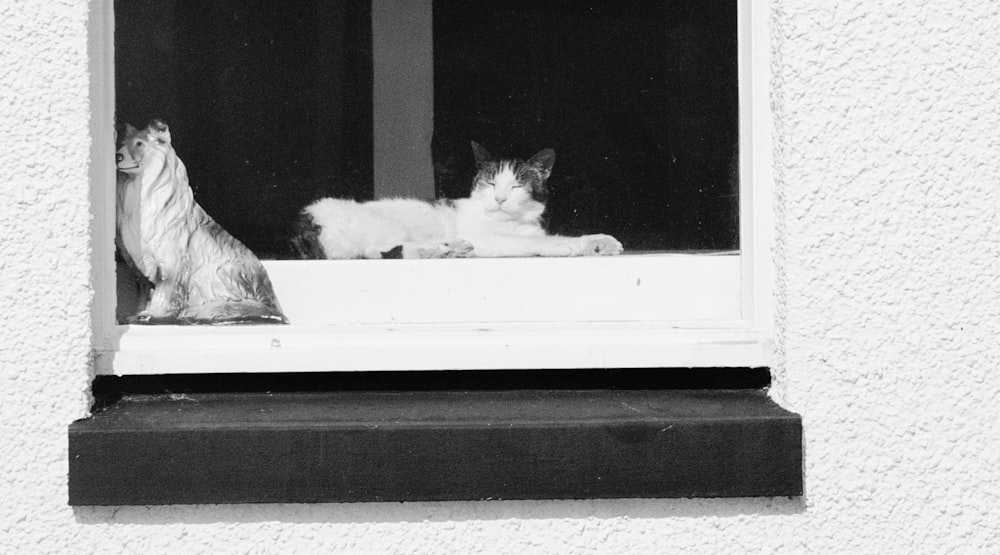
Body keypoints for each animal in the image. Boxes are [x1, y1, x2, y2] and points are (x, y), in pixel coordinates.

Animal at [118, 119, 290, 324]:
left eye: (139, 144)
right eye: (122, 144)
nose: (117, 156)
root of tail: (276, 308)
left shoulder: (170, 263)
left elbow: (164, 293)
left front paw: (153, 314)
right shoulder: (139, 269)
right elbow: (144, 295)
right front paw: (136, 315)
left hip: (217, 273)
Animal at [290, 141, 628, 258]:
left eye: (517, 186)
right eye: (491, 183)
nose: (500, 198)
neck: (514, 222)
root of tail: (305, 219)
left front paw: (600, 243)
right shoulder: (493, 240)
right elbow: (539, 242)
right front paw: (572, 245)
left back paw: (449, 248)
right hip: (383, 224)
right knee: (380, 250)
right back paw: (441, 249)